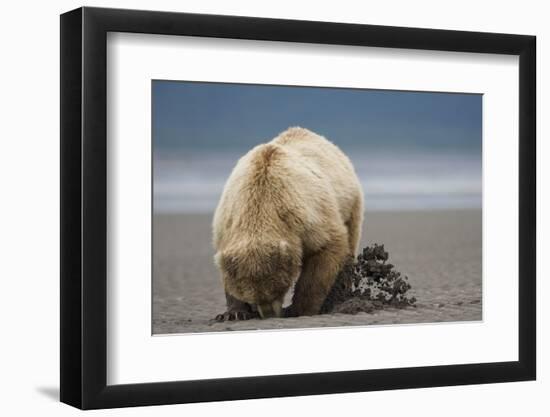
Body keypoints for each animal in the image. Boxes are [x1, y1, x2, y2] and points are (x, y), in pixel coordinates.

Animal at [213, 127, 364, 318]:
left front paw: (299, 308)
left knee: (350, 245)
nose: (269, 314)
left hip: (350, 203)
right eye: (253, 296)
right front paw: (234, 313)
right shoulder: (227, 223)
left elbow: (326, 249)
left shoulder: (304, 217)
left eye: (277, 290)